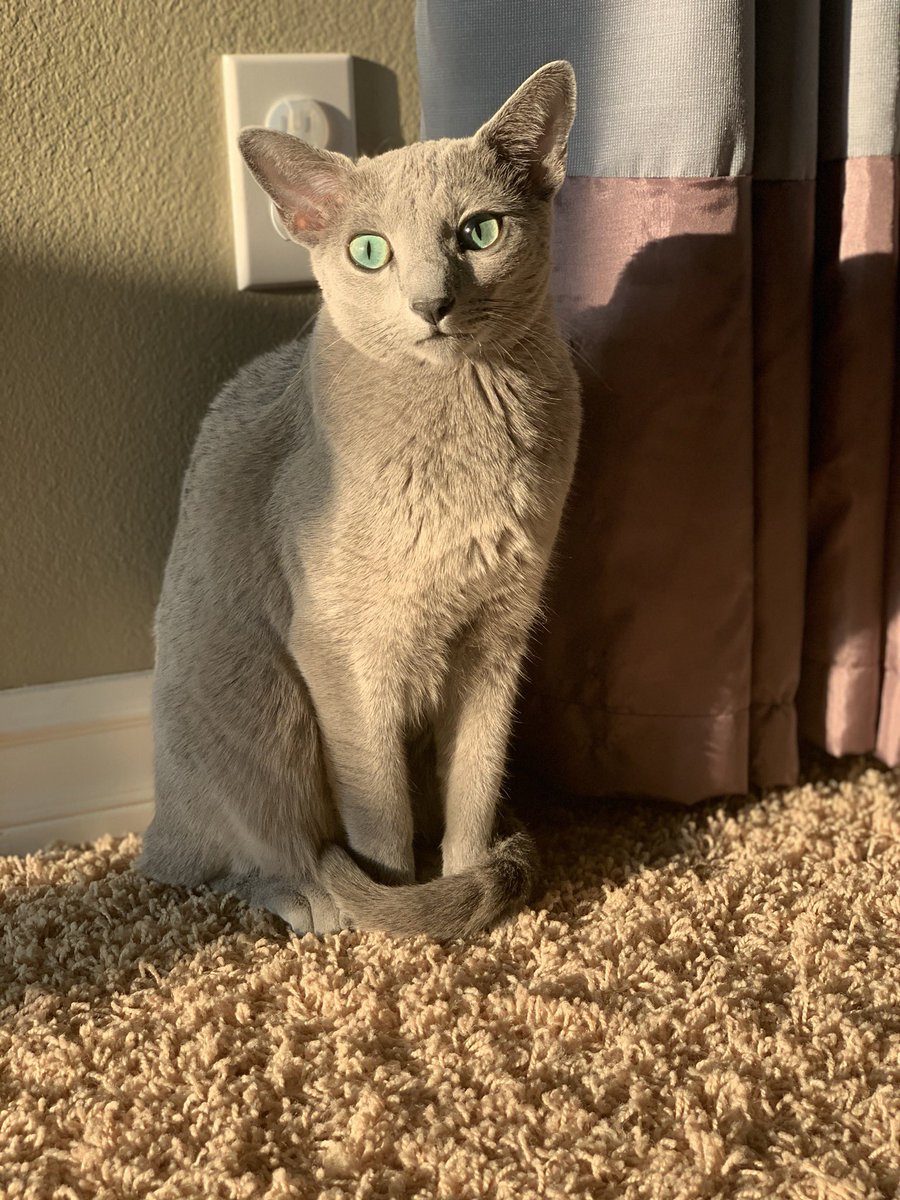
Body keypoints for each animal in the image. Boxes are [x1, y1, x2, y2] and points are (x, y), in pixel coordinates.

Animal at [135, 60, 581, 940]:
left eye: (480, 233)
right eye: (370, 251)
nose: (430, 303)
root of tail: (152, 828)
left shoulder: (498, 638)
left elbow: (474, 789)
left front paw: (468, 891)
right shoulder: (344, 649)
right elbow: (380, 814)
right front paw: (400, 913)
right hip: (268, 701)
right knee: (227, 859)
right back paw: (312, 899)